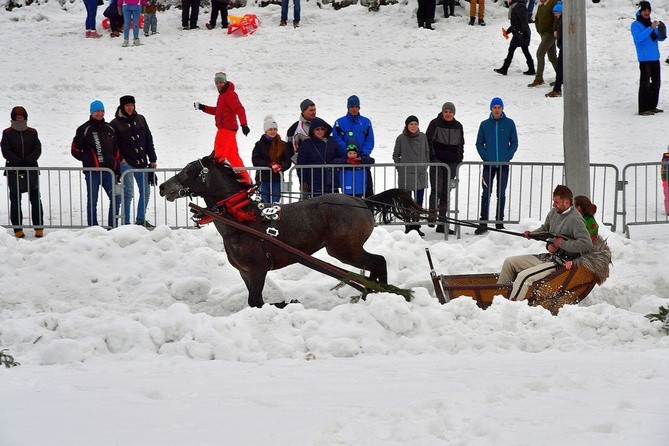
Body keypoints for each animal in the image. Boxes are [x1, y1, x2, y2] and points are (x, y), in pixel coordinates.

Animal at [159, 155, 420, 308]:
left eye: (188, 170)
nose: (162, 186)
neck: (241, 220)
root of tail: (361, 201)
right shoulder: (245, 272)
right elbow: (255, 301)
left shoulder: (259, 268)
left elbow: (256, 300)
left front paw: (286, 303)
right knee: (374, 266)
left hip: (344, 250)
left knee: (378, 262)